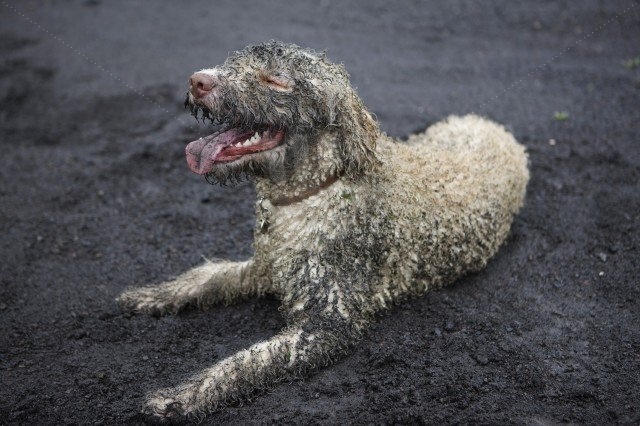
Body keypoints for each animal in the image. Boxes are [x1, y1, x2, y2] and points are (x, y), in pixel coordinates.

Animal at [117, 40, 528, 420]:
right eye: (233, 62)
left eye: (275, 80)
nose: (198, 80)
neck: (312, 192)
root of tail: (493, 126)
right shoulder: (266, 267)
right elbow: (207, 278)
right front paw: (152, 295)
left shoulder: (328, 325)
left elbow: (246, 362)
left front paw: (183, 396)